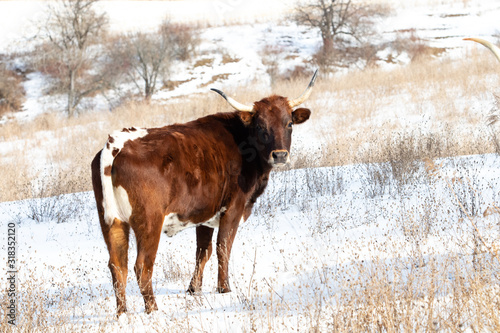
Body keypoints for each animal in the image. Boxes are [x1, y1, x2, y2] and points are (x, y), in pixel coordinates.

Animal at [92, 69, 318, 314]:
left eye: (289, 123)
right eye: (260, 126)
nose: (280, 155)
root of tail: (117, 143)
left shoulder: (204, 214)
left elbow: (203, 251)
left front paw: (194, 289)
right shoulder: (233, 208)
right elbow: (222, 248)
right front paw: (224, 289)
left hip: (112, 223)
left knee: (117, 267)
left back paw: (122, 314)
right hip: (149, 222)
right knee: (142, 267)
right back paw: (153, 310)